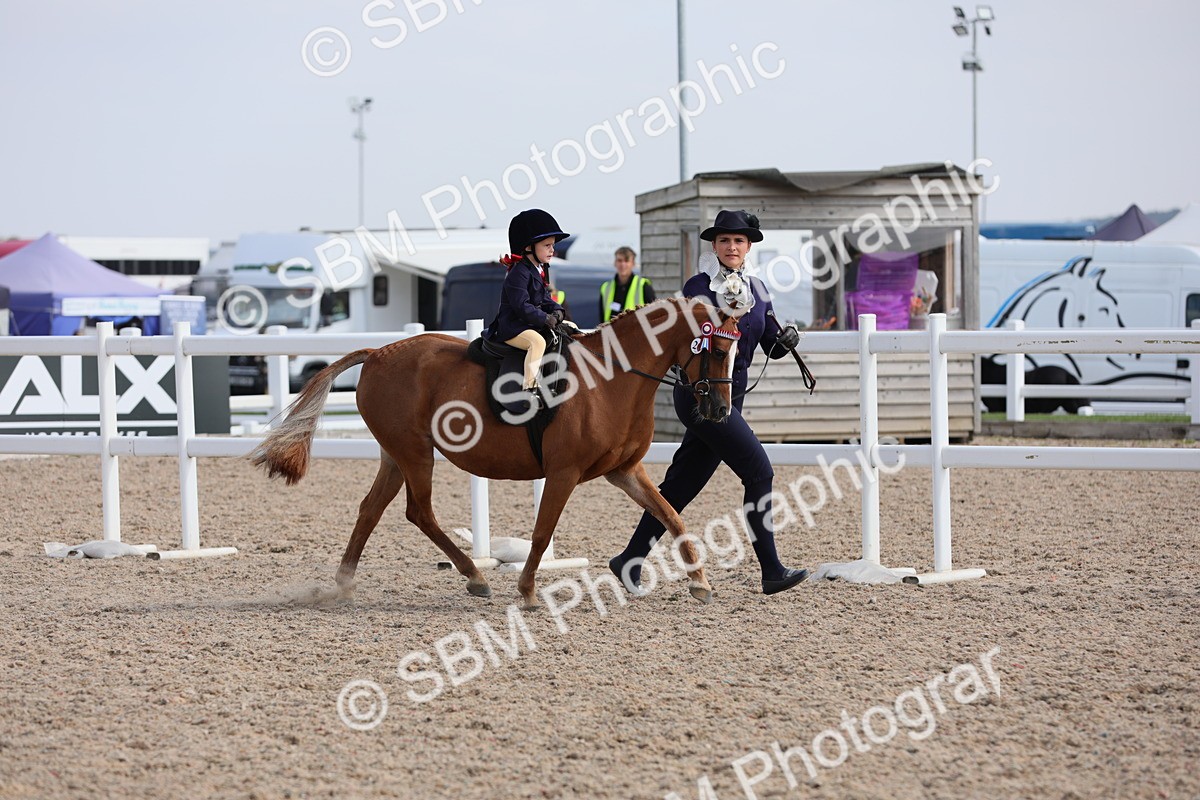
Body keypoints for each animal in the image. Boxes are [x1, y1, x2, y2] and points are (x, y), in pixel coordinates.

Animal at [250, 297, 743, 609]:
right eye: (718, 348)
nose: (720, 410)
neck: (611, 378)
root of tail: (377, 353)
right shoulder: (563, 473)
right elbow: (542, 533)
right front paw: (526, 591)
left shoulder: (624, 470)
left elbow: (670, 514)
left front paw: (700, 583)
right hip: (416, 454)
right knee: (418, 511)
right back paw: (475, 576)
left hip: (396, 455)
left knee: (371, 509)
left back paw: (345, 585)